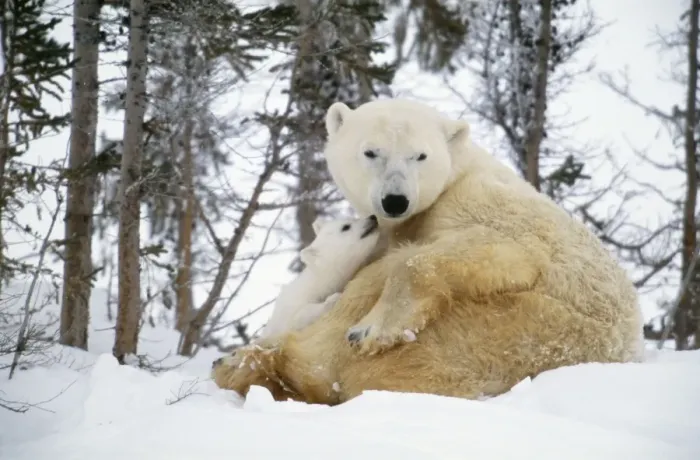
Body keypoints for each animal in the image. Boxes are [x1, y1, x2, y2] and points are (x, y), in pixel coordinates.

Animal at [211, 98, 644, 405]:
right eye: (371, 152)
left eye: (420, 155)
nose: (395, 200)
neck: (457, 174)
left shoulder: (489, 214)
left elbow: (492, 250)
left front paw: (373, 329)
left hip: (499, 329)